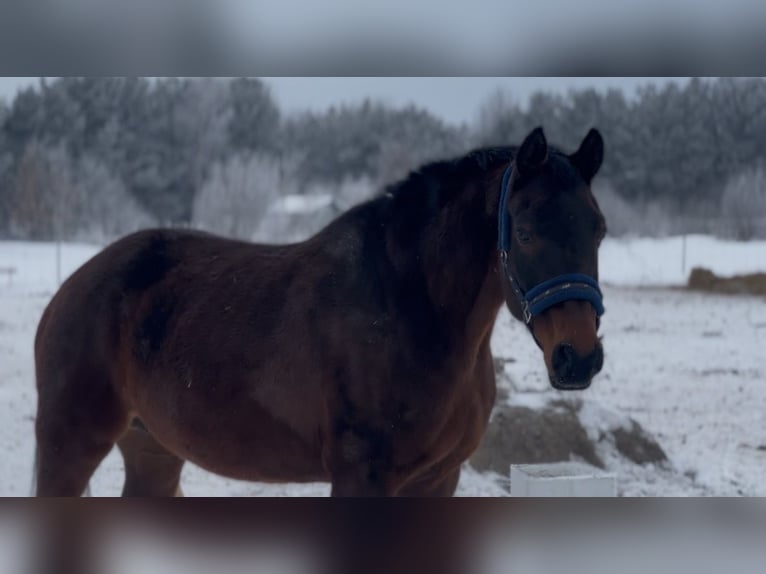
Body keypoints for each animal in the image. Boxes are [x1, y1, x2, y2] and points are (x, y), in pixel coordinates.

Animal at [32, 126, 607, 497]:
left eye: (599, 230)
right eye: (525, 232)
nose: (578, 358)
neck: (409, 309)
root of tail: (74, 287)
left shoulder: (439, 479)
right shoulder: (361, 477)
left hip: (152, 451)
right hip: (71, 444)